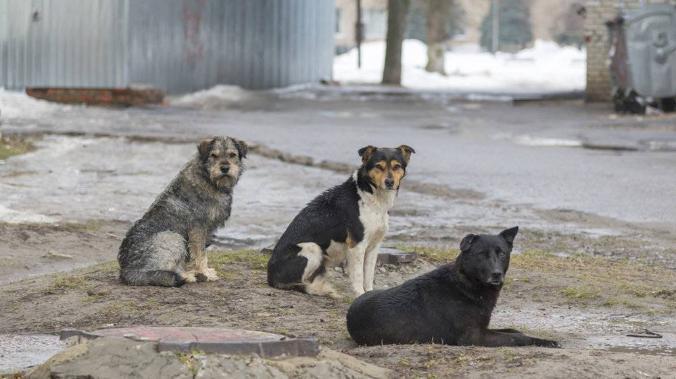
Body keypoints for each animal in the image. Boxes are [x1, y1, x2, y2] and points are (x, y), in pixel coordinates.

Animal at [266, 147, 414, 298]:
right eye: (378, 166)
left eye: (397, 166)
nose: (389, 182)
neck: (371, 196)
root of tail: (270, 276)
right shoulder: (357, 245)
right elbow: (358, 275)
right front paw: (360, 294)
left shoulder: (374, 246)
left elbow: (368, 275)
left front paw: (369, 293)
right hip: (312, 247)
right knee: (299, 283)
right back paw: (317, 289)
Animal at [346, 227, 556, 348]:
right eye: (482, 254)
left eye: (502, 253)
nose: (497, 274)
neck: (466, 284)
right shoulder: (474, 337)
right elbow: (517, 338)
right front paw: (545, 342)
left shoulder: (483, 328)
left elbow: (513, 331)